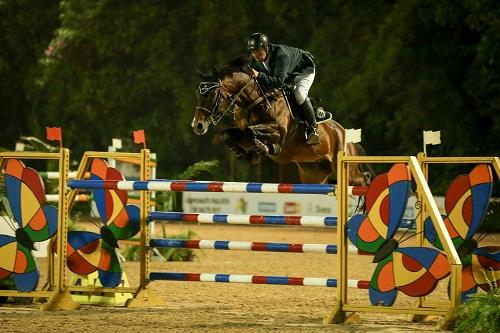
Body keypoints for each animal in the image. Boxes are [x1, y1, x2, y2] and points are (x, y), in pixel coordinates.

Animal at [191, 58, 372, 185]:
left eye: (212, 94)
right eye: (198, 93)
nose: (197, 126)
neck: (254, 100)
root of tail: (347, 136)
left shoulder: (279, 132)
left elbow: (252, 132)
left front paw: (264, 148)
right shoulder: (240, 130)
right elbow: (227, 135)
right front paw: (245, 154)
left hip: (345, 168)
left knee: (362, 180)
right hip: (313, 173)